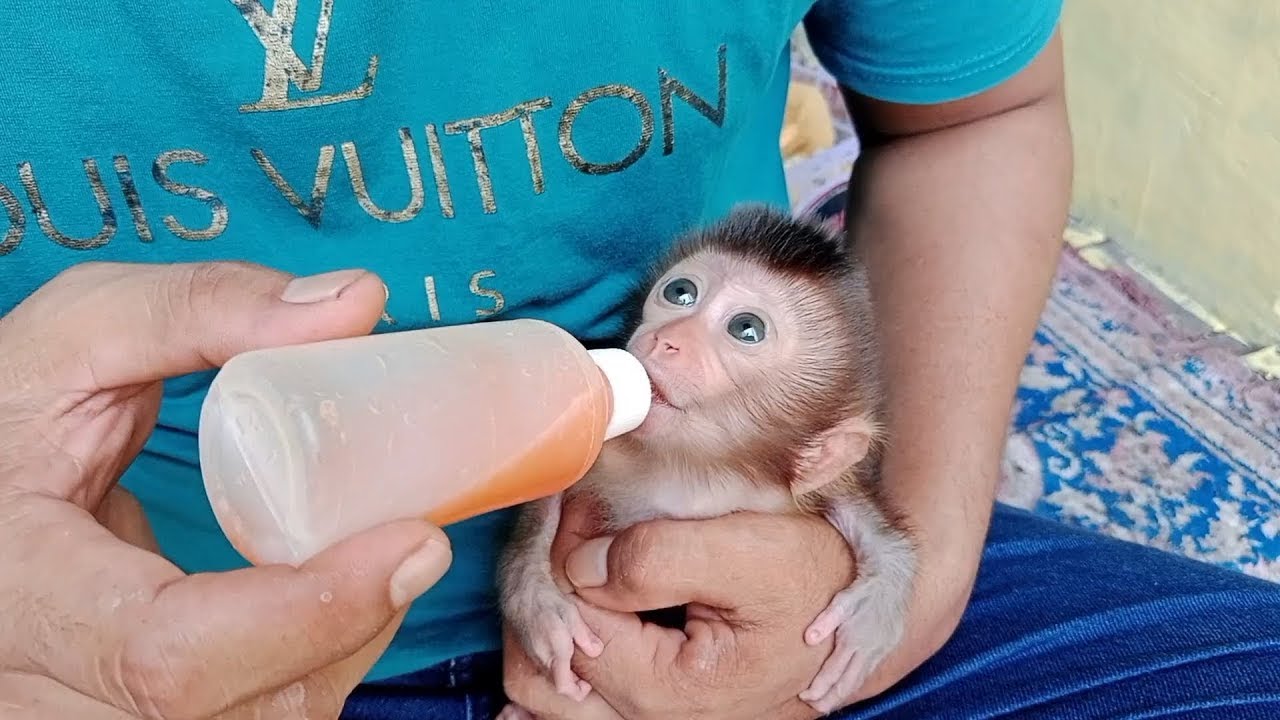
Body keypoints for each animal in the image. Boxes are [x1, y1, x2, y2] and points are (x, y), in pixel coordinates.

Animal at [496, 204, 917, 719]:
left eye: (746, 328)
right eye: (681, 293)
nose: (666, 340)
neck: (689, 469)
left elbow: (859, 510)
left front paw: (871, 617)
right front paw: (539, 604)